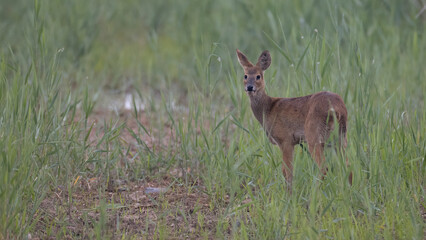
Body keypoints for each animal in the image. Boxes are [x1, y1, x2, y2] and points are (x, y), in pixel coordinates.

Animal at [235, 49, 352, 187]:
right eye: (245, 76)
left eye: (258, 76)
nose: (249, 87)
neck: (268, 109)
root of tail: (337, 108)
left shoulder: (285, 139)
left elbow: (287, 172)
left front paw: (289, 192)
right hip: (340, 137)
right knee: (348, 166)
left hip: (314, 135)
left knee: (324, 167)